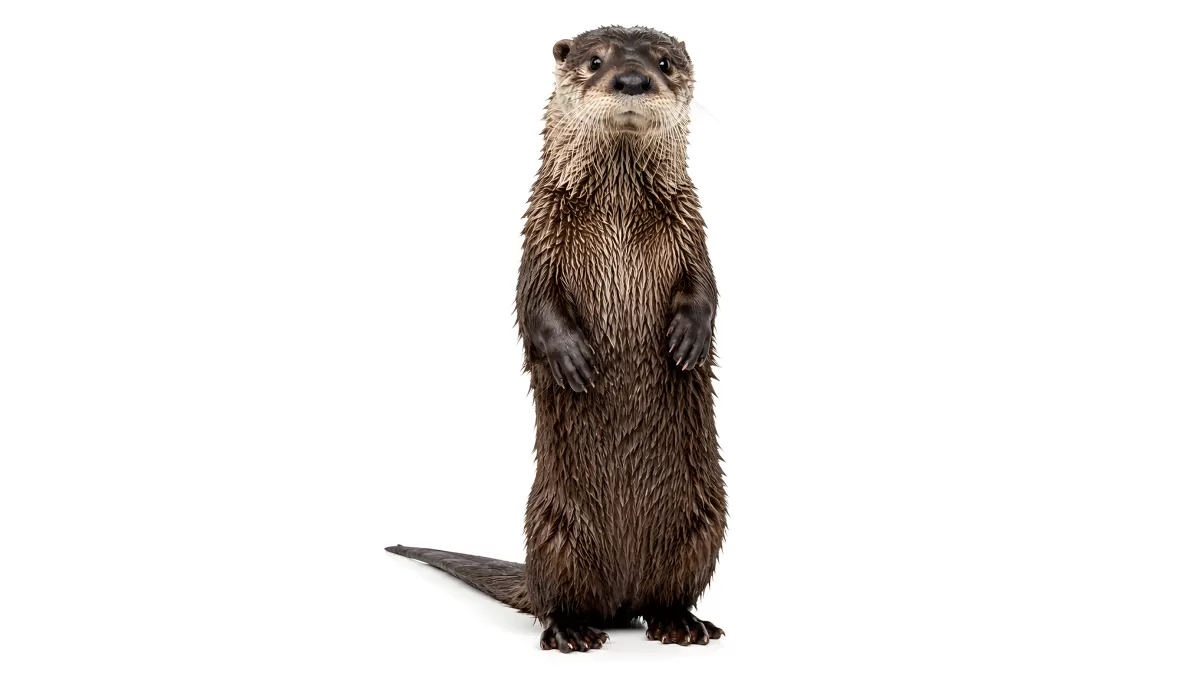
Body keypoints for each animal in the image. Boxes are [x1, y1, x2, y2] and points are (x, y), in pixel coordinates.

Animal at [387, 25, 725, 653]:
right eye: (595, 61)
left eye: (665, 63)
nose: (633, 78)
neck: (619, 210)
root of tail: (622, 595)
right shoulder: (540, 235)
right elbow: (534, 304)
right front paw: (571, 358)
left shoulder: (692, 229)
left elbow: (706, 290)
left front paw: (689, 340)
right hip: (552, 529)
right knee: (557, 599)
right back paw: (571, 629)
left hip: (703, 523)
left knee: (670, 593)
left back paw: (682, 623)